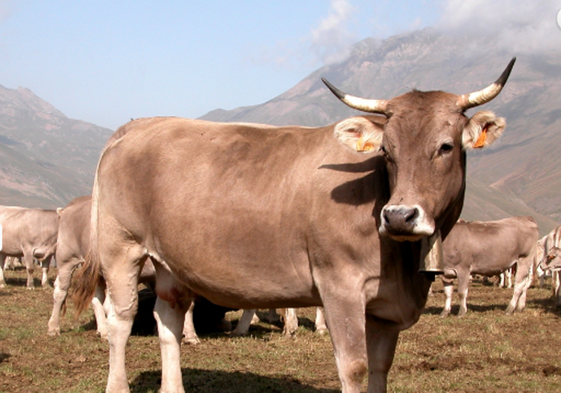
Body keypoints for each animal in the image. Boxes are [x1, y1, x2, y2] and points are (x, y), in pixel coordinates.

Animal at [71, 58, 516, 392]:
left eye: (446, 146)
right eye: (387, 151)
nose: (399, 216)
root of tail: (139, 124)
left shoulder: (387, 307)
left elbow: (379, 368)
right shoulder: (340, 286)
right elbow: (354, 368)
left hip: (170, 263)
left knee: (168, 320)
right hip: (121, 248)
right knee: (121, 318)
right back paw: (117, 382)